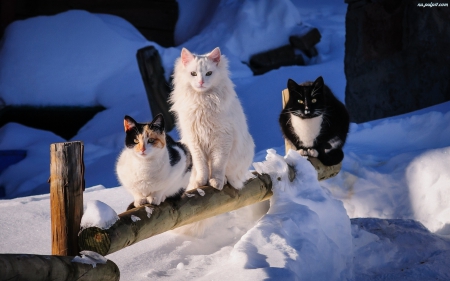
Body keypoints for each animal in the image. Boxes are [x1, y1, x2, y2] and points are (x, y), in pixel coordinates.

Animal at [170, 47, 255, 190]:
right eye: (193, 73)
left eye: (209, 73)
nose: (201, 82)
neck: (202, 100)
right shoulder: (194, 141)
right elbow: (202, 167)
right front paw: (201, 182)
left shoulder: (222, 138)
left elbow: (218, 165)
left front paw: (216, 182)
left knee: (231, 177)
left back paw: (224, 181)